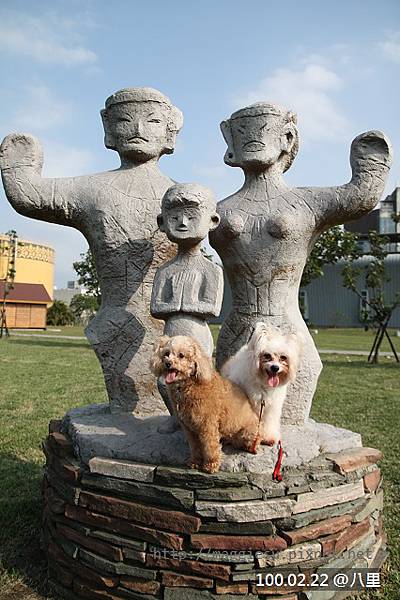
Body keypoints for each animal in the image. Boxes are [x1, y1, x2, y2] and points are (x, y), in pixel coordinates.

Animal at [150, 336, 260, 472]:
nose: (168, 363)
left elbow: (209, 447)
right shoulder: (189, 428)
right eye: (166, 354)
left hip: (247, 433)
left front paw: (210, 466)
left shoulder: (207, 425)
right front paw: (195, 462)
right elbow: (195, 446)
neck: (189, 385)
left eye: (181, 355)